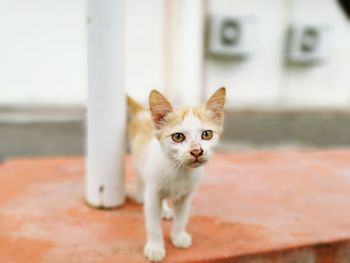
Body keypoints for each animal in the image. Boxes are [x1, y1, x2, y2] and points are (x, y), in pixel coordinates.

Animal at [127, 87, 226, 262]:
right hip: (139, 162)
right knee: (141, 180)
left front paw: (178, 236)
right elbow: (153, 224)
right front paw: (155, 247)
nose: (196, 151)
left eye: (207, 134)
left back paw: (165, 210)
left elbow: (182, 218)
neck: (179, 170)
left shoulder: (185, 196)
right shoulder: (152, 193)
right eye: (178, 137)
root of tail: (143, 111)